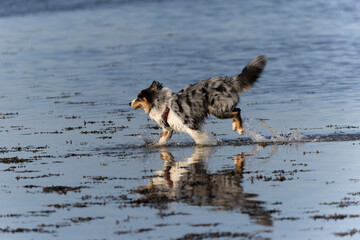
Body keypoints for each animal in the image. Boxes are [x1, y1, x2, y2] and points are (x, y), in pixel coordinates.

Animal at [129, 55, 264, 145]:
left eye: (139, 97)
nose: (129, 103)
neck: (161, 103)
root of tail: (228, 81)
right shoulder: (168, 130)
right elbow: (159, 143)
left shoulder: (188, 124)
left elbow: (199, 138)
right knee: (237, 110)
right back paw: (235, 126)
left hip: (216, 110)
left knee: (237, 111)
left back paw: (240, 129)